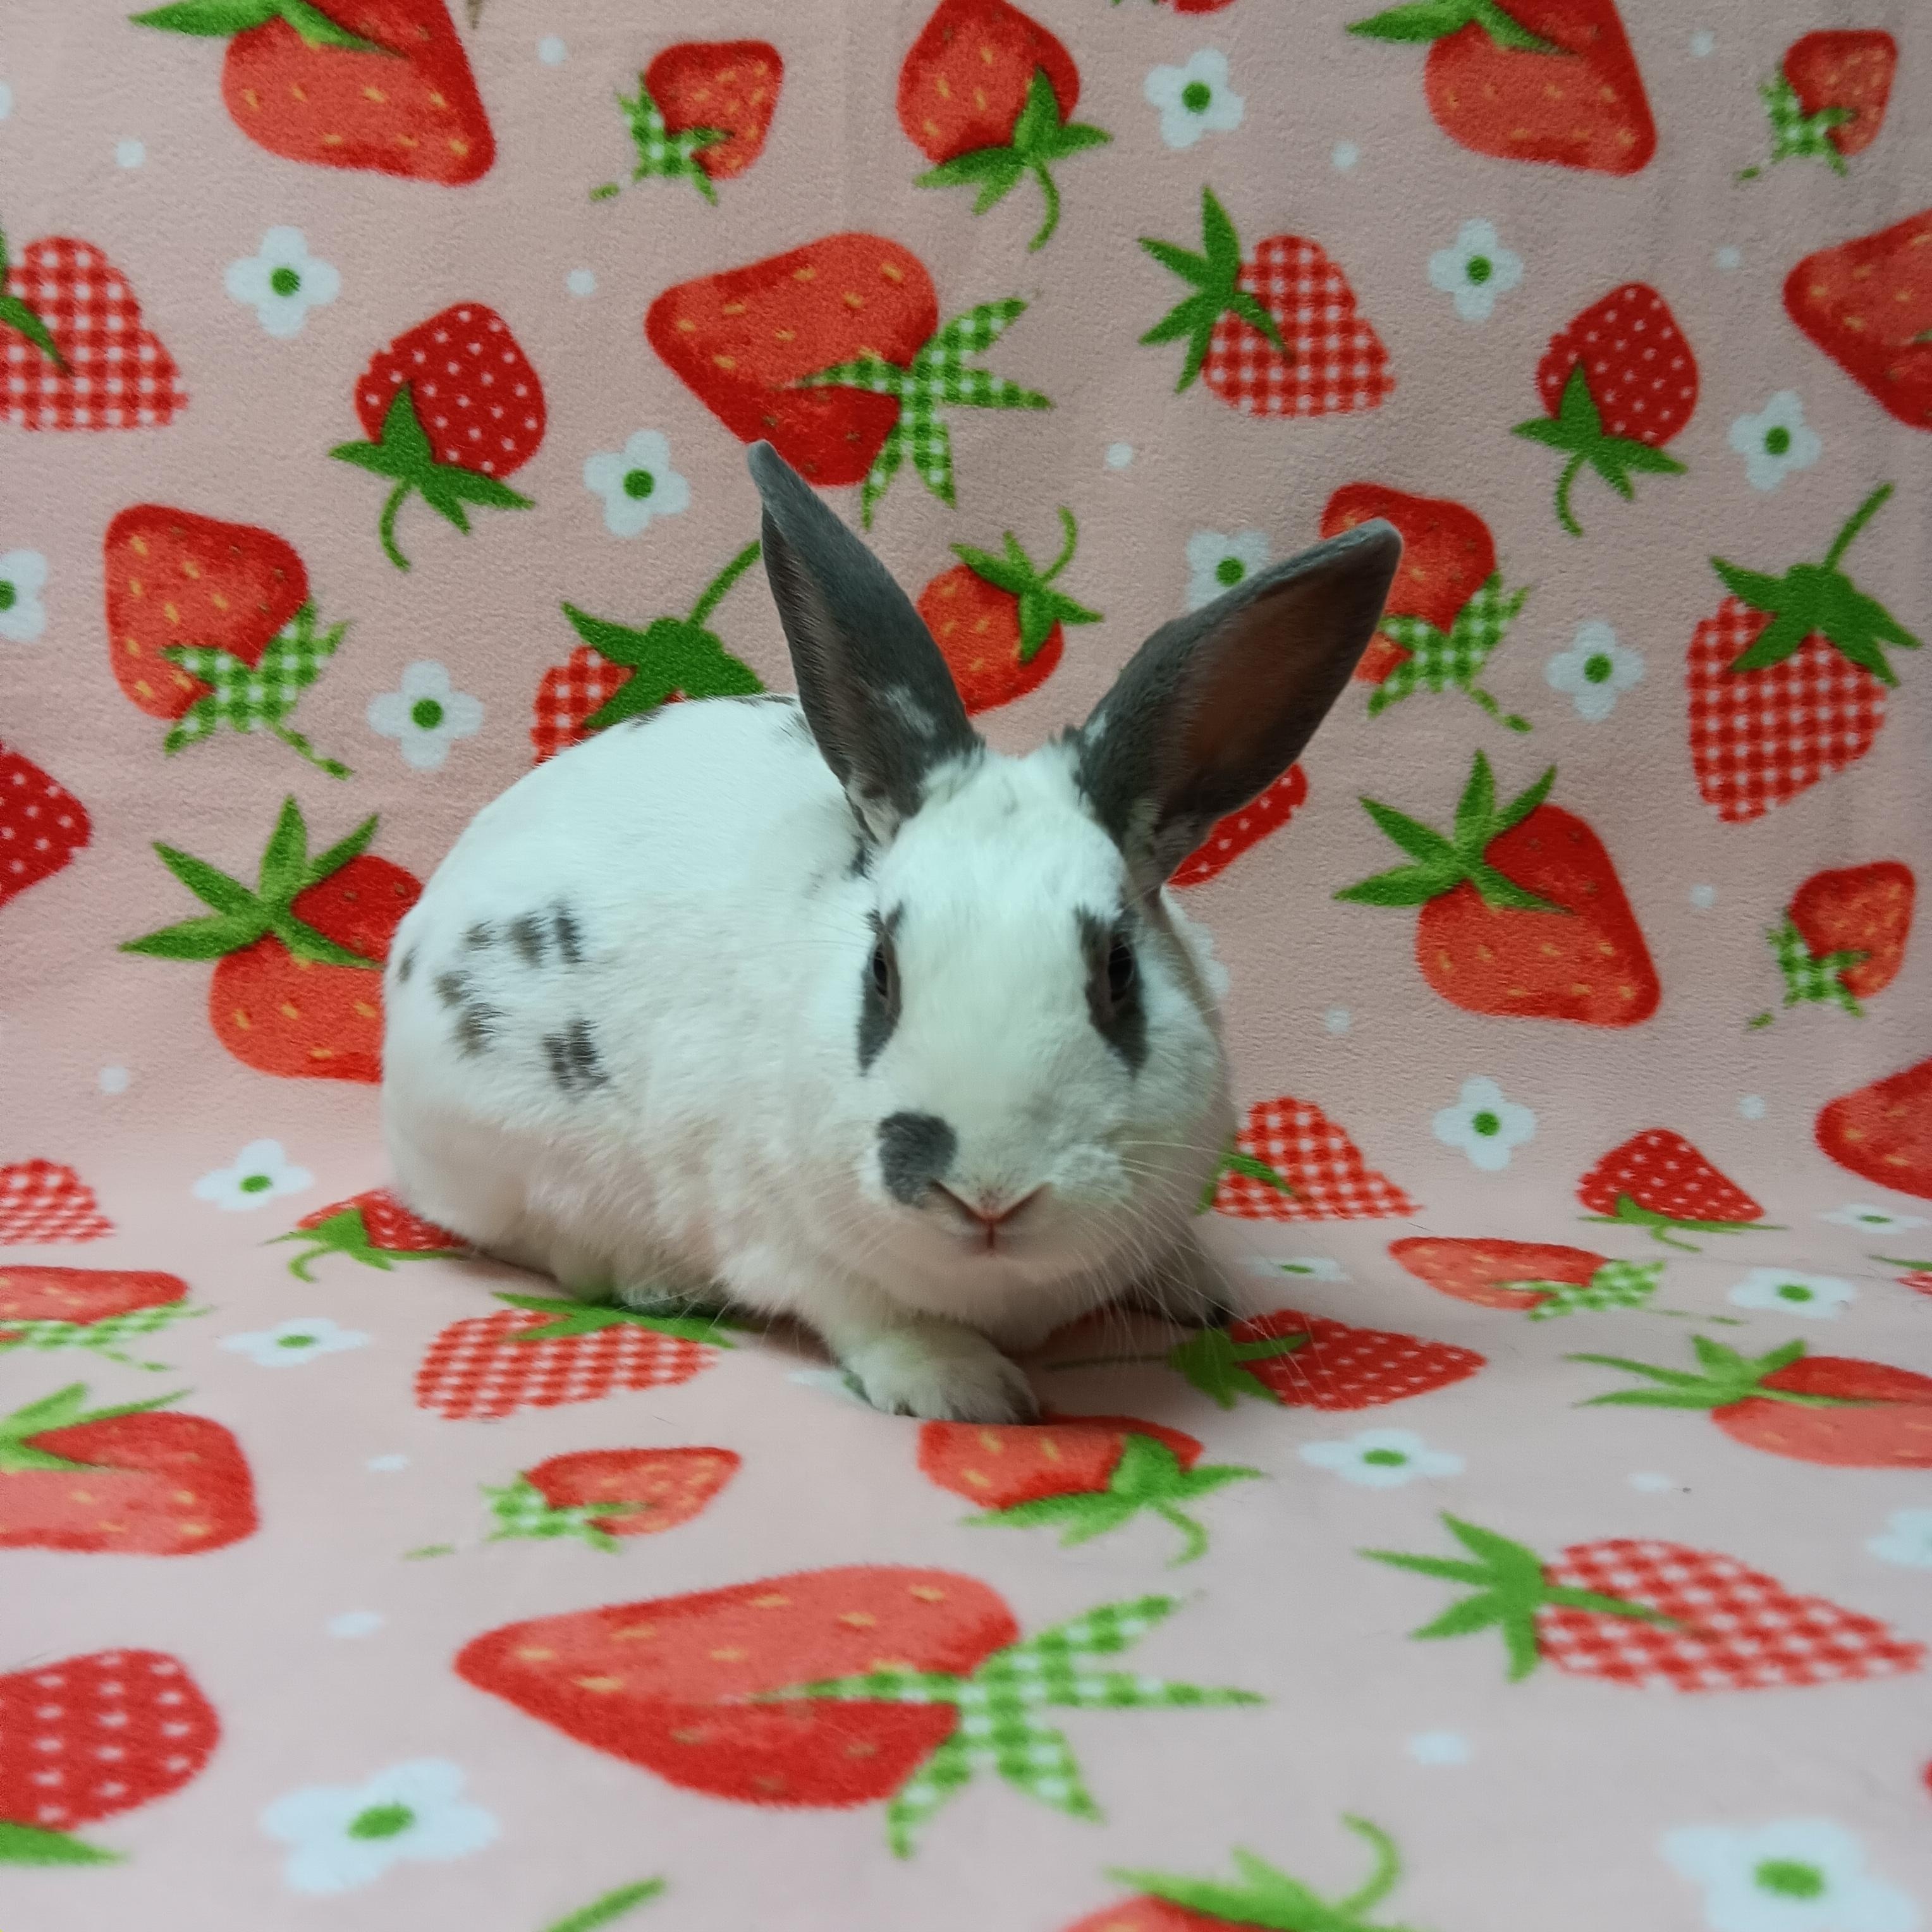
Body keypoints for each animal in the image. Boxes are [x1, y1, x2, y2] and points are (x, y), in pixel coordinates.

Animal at [381, 442, 1399, 1424]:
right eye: (881, 970)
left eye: (1118, 971)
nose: (986, 1191)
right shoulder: (786, 1244)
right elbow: (871, 1315)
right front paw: (966, 1388)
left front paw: (1201, 1287)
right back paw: (657, 1281)